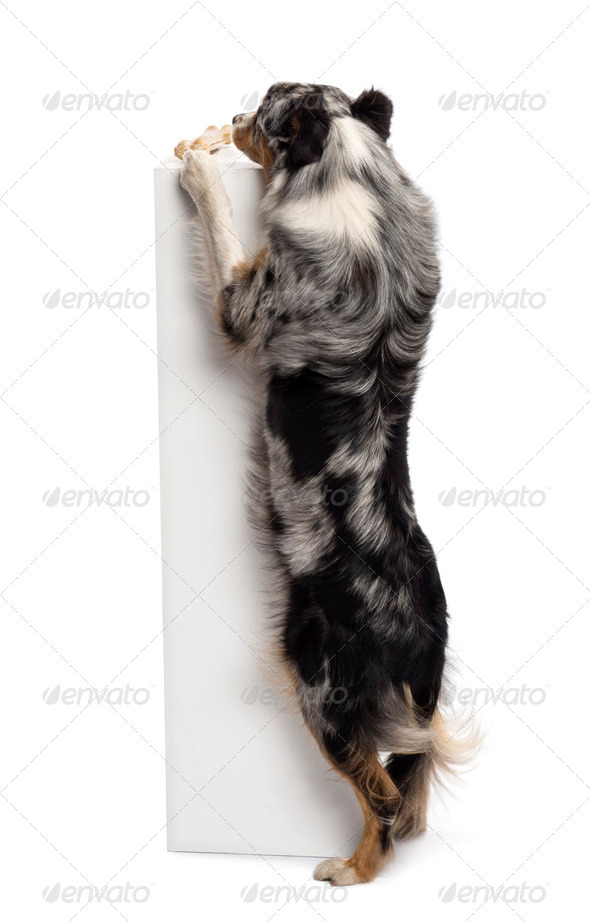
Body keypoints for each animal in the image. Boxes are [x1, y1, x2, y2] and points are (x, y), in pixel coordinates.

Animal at [178, 83, 478, 884]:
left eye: (262, 113)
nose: (233, 114)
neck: (349, 167)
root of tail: (421, 632)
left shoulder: (241, 303)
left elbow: (221, 225)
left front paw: (197, 164)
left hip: (319, 681)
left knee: (382, 796)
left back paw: (349, 870)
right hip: (417, 705)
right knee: (413, 788)